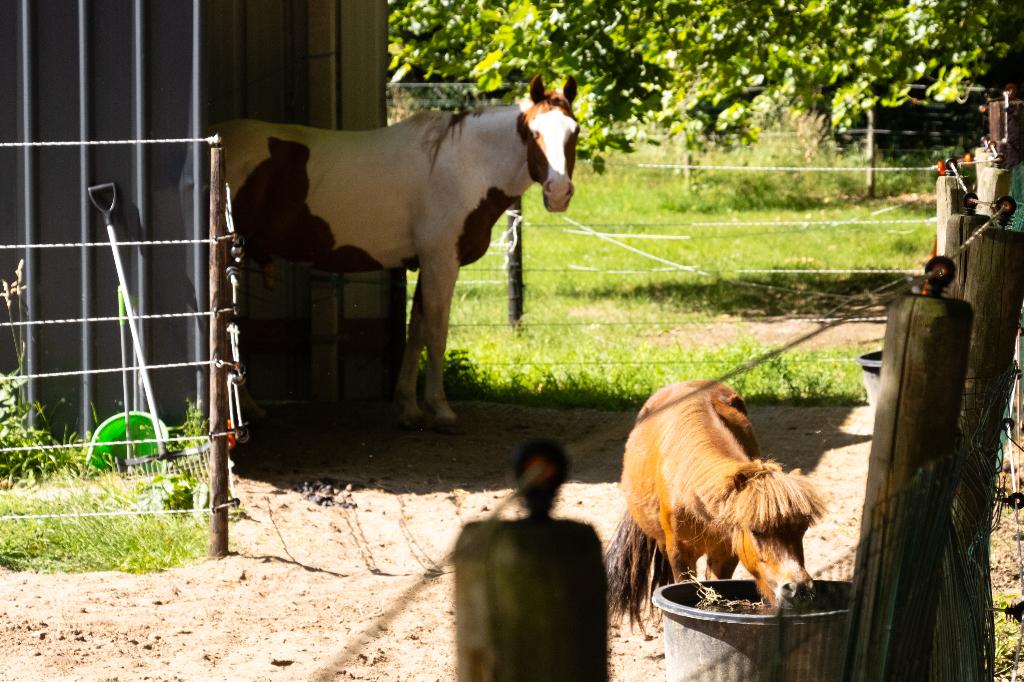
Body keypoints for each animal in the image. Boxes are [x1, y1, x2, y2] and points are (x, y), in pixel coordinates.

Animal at [217, 75, 579, 430]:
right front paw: (440, 409)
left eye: (574, 131)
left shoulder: (426, 264)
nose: (558, 193)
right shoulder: (441, 262)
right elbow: (436, 333)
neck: (462, 165)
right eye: (533, 133)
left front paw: (409, 407)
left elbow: (416, 331)